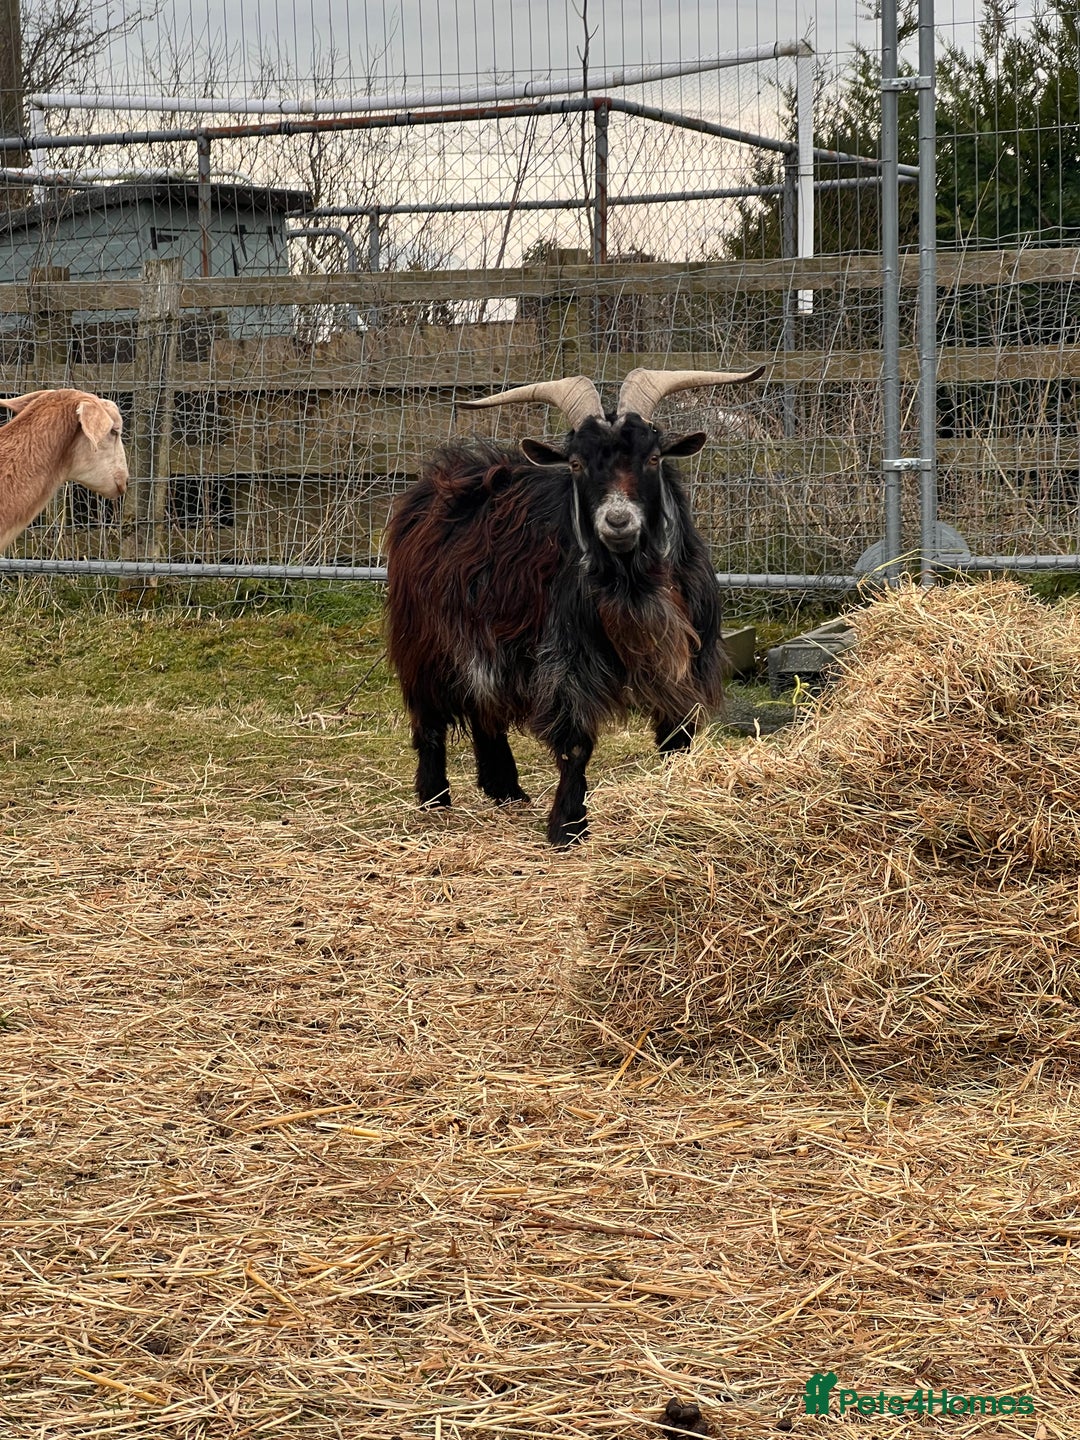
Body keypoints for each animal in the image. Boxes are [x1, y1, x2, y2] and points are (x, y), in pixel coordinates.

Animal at [386, 366, 763, 846]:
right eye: (577, 464)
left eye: (653, 458)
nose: (617, 521)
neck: (630, 582)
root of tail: (436, 481)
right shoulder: (565, 660)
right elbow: (576, 743)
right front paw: (567, 825)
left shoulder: (685, 659)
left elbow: (677, 734)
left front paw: (672, 797)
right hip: (424, 640)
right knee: (430, 719)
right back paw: (435, 798)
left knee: (486, 709)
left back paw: (505, 789)